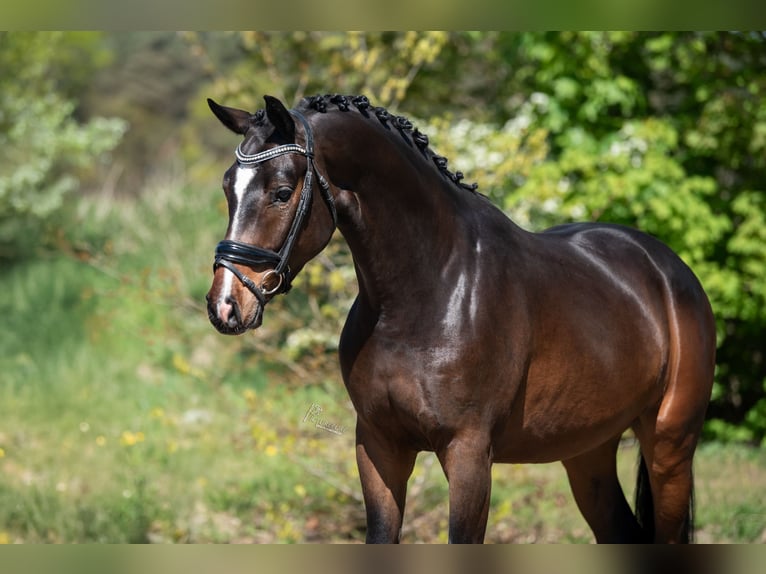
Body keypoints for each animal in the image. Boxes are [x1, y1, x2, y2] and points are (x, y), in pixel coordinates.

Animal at [205, 93, 715, 543]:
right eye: (229, 187)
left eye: (281, 192)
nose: (225, 304)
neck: (428, 290)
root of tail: (667, 269)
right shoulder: (378, 446)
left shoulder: (469, 454)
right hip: (588, 452)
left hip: (670, 445)